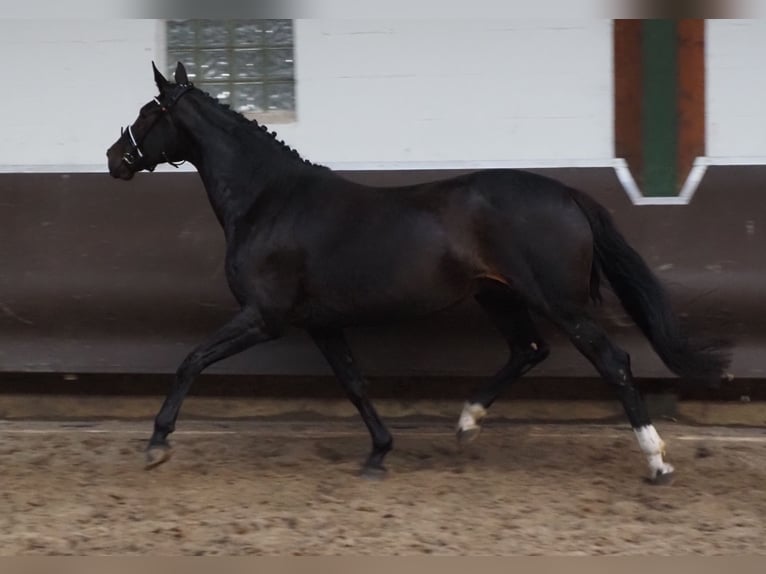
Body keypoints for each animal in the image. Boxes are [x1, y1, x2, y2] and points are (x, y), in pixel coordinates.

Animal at [108, 62, 732, 486]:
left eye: (147, 113)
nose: (115, 158)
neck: (269, 201)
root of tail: (568, 194)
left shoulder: (264, 318)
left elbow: (191, 360)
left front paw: (157, 443)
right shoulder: (321, 323)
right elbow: (354, 383)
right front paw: (379, 453)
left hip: (561, 303)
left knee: (613, 361)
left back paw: (656, 462)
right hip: (498, 297)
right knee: (528, 350)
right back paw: (466, 423)